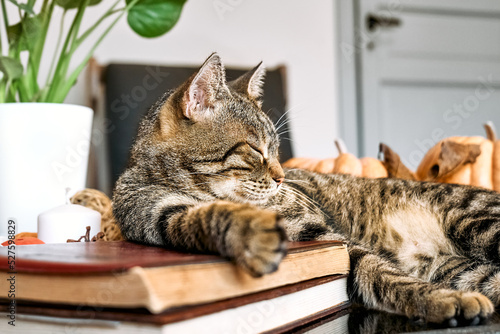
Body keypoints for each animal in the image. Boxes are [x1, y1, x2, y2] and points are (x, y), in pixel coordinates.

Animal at [113, 54, 500, 326]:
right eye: (255, 149)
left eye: (277, 149)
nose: (282, 177)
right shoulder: (160, 216)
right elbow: (209, 217)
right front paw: (252, 233)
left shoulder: (330, 237)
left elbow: (383, 273)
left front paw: (445, 301)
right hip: (463, 268)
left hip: (476, 221)